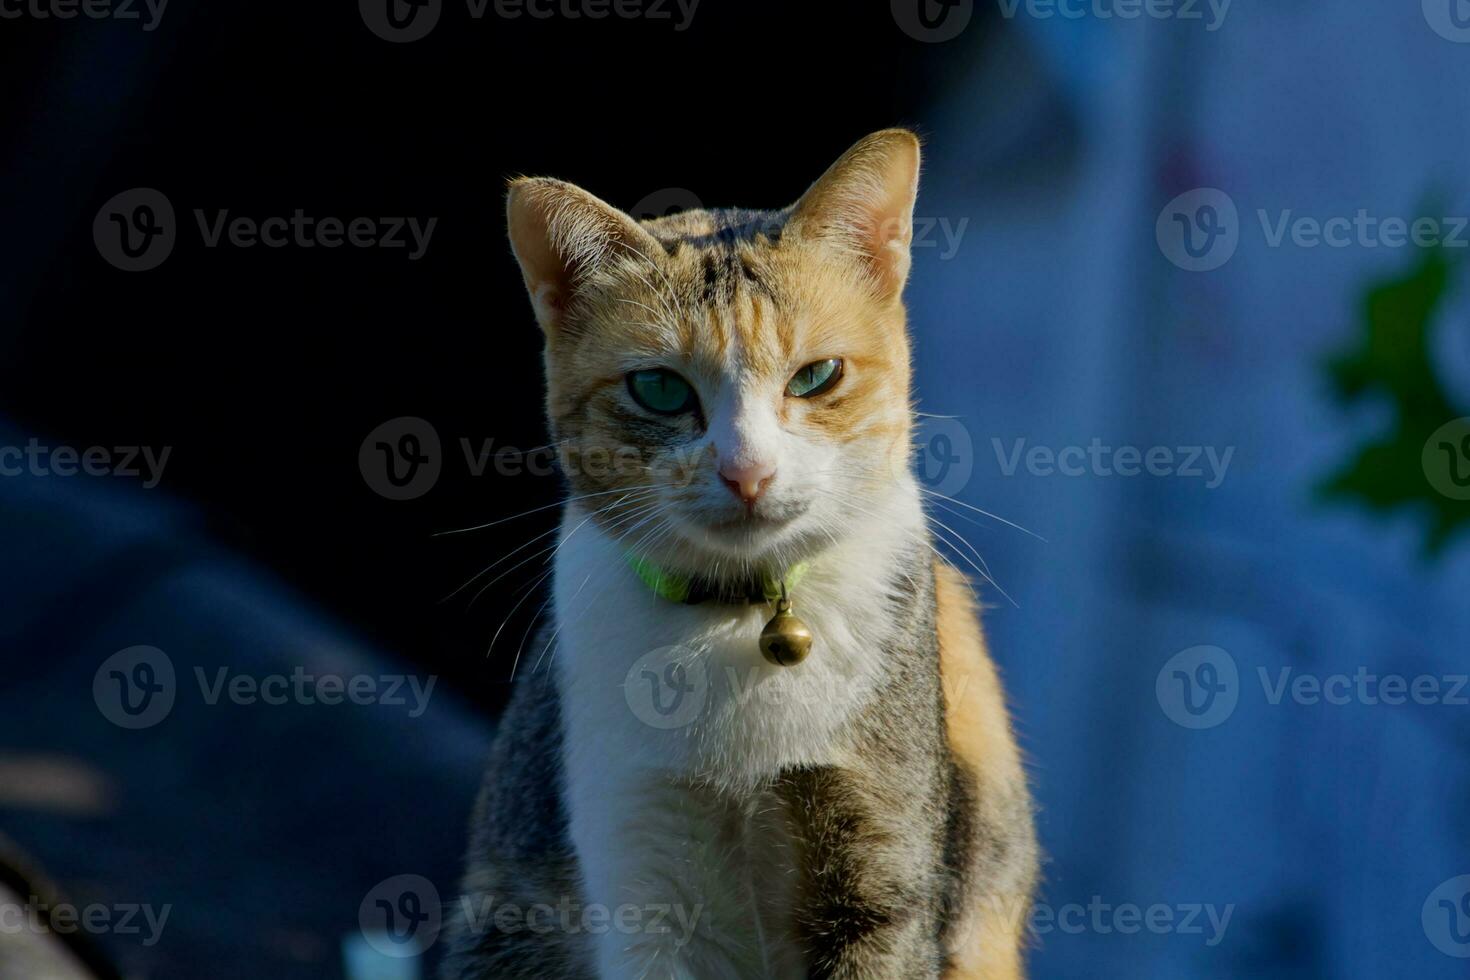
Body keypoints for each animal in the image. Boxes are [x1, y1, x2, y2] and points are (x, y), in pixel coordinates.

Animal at [441, 132, 1040, 980]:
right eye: (659, 390)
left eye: (817, 376)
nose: (747, 471)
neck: (740, 616)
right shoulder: (644, 879)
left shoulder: (888, 876)